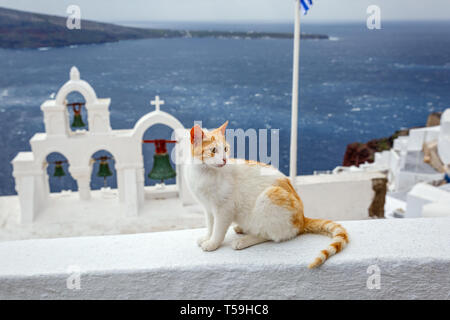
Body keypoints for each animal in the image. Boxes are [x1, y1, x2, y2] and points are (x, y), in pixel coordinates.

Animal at [185, 120, 350, 268]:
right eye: (213, 150)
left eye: (225, 149)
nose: (225, 159)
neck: (204, 173)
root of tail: (302, 219)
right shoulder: (208, 208)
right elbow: (210, 225)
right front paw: (207, 237)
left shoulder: (224, 209)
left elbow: (218, 230)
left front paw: (213, 243)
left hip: (268, 197)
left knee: (269, 234)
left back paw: (244, 240)